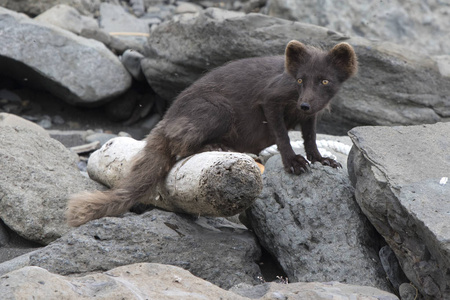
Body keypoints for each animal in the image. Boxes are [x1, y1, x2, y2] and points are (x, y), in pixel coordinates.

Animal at [65, 41, 356, 226]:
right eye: (299, 80)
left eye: (325, 81)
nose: (304, 104)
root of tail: (167, 118)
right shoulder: (270, 100)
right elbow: (283, 135)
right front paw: (293, 163)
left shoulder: (311, 117)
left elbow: (310, 138)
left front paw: (321, 159)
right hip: (219, 110)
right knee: (181, 145)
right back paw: (214, 147)